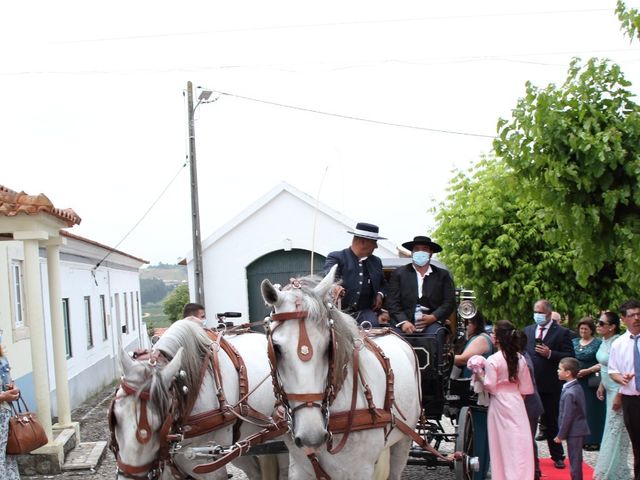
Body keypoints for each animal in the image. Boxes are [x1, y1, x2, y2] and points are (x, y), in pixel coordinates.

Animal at [262, 264, 422, 478]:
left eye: (329, 346)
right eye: (276, 348)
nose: (312, 435)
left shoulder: (361, 471)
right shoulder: (300, 468)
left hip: (404, 439)